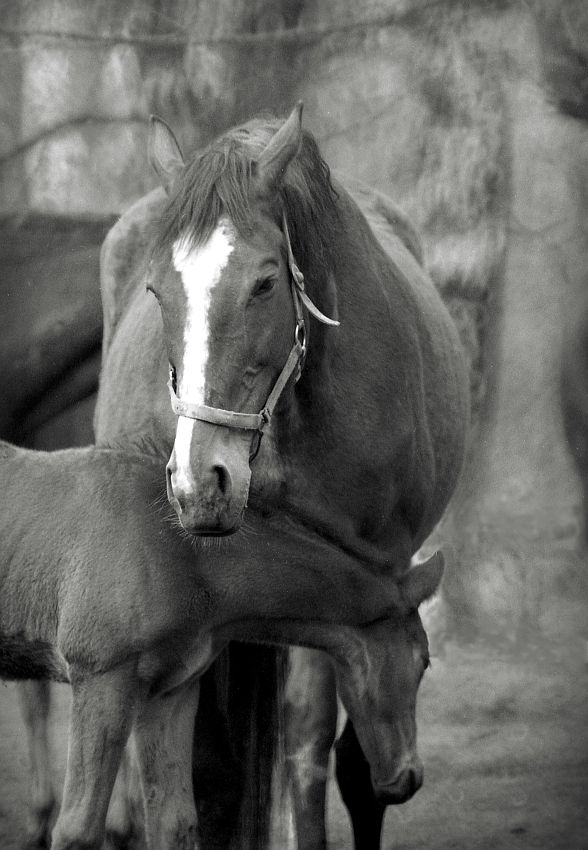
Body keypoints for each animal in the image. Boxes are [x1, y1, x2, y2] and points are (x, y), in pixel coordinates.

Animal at [93, 102, 468, 844]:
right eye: (156, 289)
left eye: (265, 282)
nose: (198, 481)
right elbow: (204, 773)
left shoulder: (347, 588)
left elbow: (311, 751)